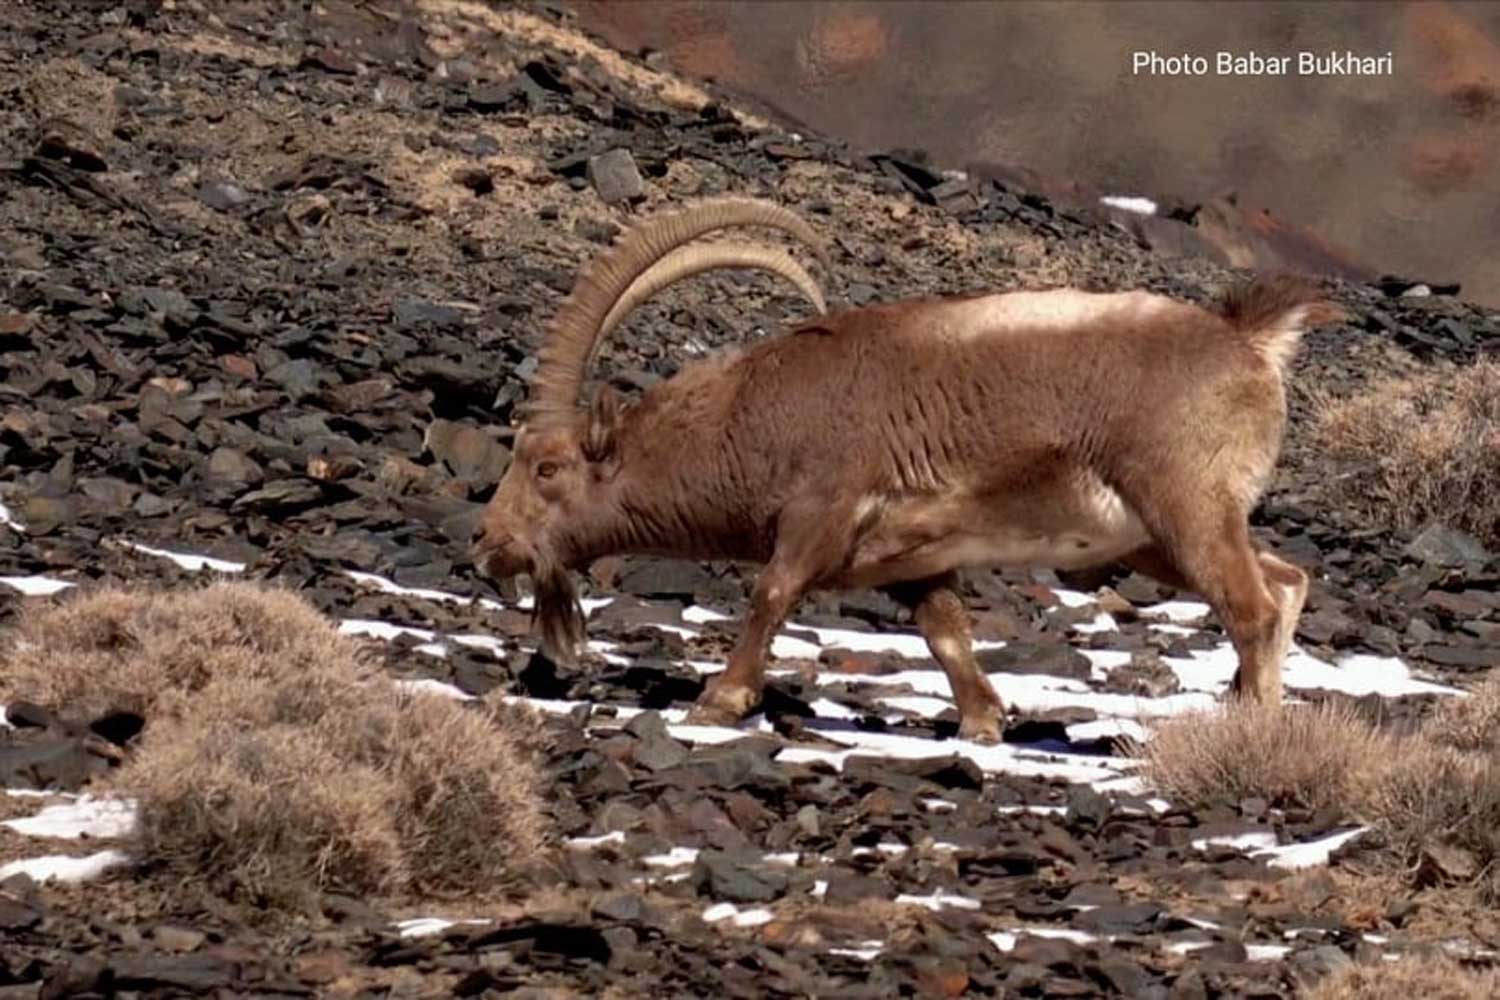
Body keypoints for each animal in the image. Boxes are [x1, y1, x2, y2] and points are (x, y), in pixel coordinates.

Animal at [471, 197, 1350, 743]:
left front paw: (719, 700)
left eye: (547, 467)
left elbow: (772, 592)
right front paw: (983, 721)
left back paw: (1252, 732)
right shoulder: (915, 559)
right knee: (1286, 581)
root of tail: (1250, 342)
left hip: (1183, 503)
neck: (749, 416)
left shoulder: (822, 506)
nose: (487, 543)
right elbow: (945, 633)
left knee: (1252, 607)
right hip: (1153, 537)